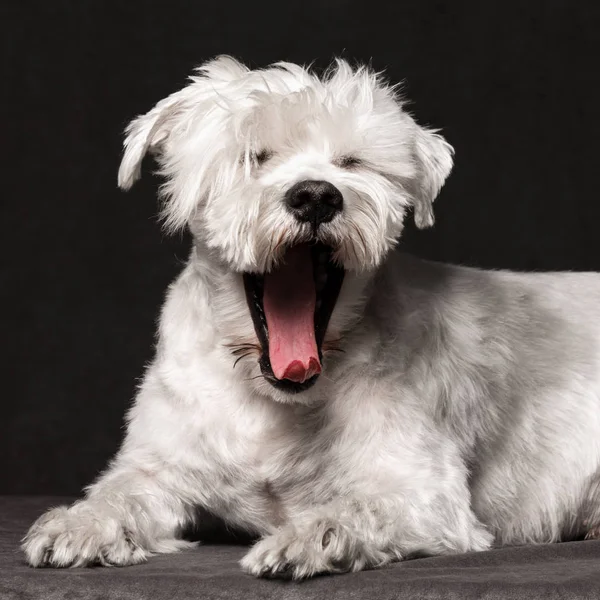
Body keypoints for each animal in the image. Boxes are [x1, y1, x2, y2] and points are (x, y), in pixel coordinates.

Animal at [22, 58, 600, 580]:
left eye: (352, 162)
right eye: (253, 156)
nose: (317, 194)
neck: (270, 400)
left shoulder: (421, 490)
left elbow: (355, 507)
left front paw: (303, 539)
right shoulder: (157, 466)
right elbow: (118, 493)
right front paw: (75, 525)